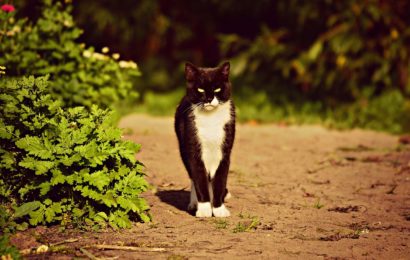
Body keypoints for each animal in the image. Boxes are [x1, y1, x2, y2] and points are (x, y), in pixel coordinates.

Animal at [175, 61, 235, 217]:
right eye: (200, 89)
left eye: (217, 88)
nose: (208, 99)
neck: (210, 119)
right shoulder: (193, 150)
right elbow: (199, 179)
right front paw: (204, 210)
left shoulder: (224, 152)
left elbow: (219, 180)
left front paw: (219, 209)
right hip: (183, 149)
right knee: (194, 177)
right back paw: (194, 204)